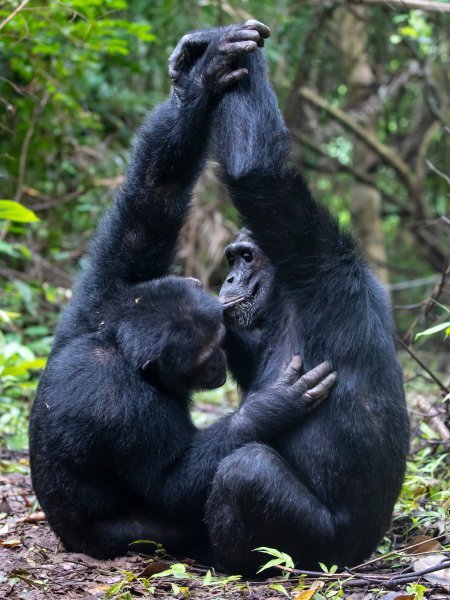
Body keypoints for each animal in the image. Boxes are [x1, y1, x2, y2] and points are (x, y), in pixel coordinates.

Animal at [29, 19, 338, 564]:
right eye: (203, 356)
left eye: (218, 344)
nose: (219, 367)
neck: (118, 345)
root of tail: (66, 541)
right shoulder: (125, 407)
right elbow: (172, 482)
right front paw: (270, 406)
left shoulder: (103, 299)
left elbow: (152, 200)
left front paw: (200, 72)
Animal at [167, 24, 410, 576]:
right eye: (231, 257)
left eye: (246, 256)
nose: (229, 278)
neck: (286, 294)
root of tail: (366, 554)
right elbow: (241, 350)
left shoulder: (313, 251)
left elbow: (258, 175)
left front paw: (222, 46)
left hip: (322, 550)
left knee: (247, 470)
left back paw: (224, 563)